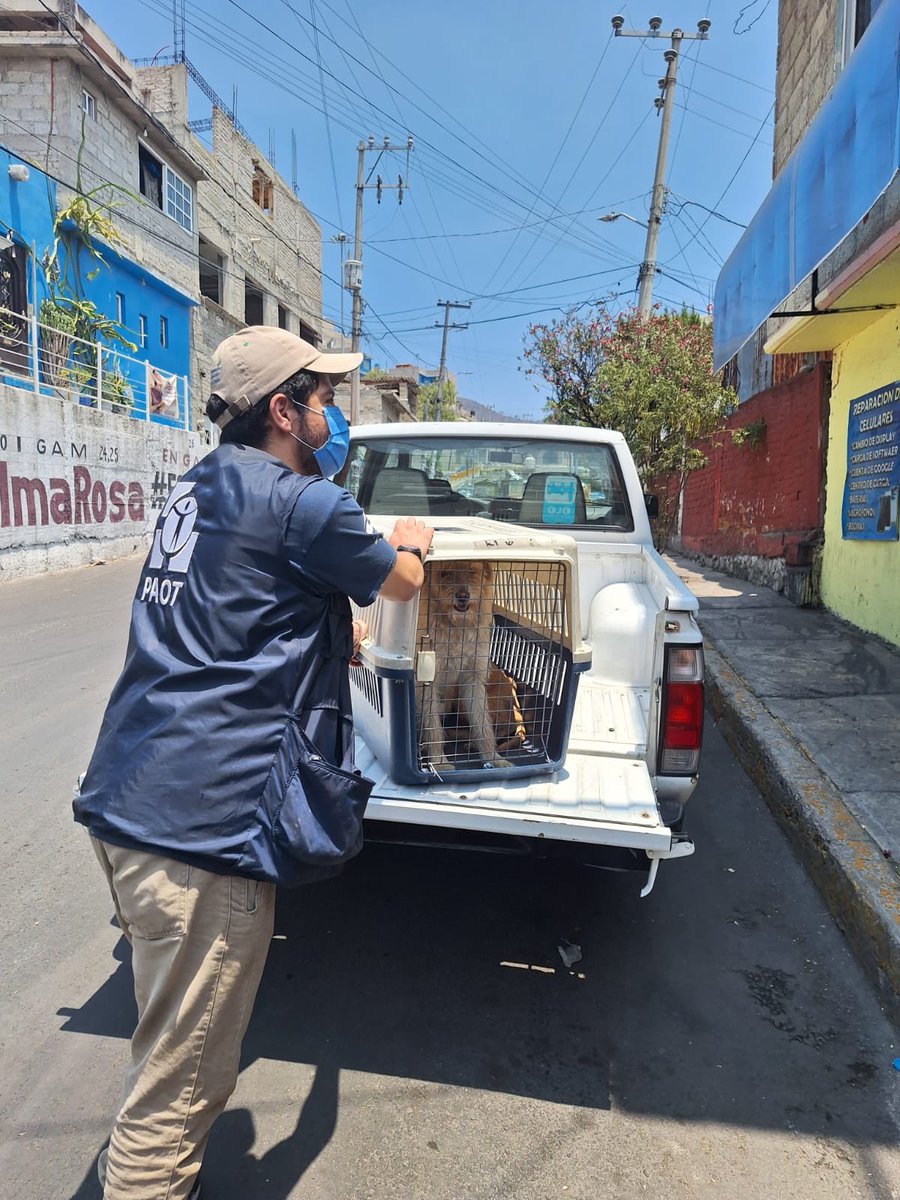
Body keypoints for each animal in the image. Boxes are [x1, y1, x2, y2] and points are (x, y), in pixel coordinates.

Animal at [415, 559, 525, 768]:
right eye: (444, 573)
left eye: (472, 571)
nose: (463, 596)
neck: (456, 626)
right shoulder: (427, 684)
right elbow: (433, 726)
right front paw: (439, 762)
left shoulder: (473, 679)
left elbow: (483, 724)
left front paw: (493, 758)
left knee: (500, 726)